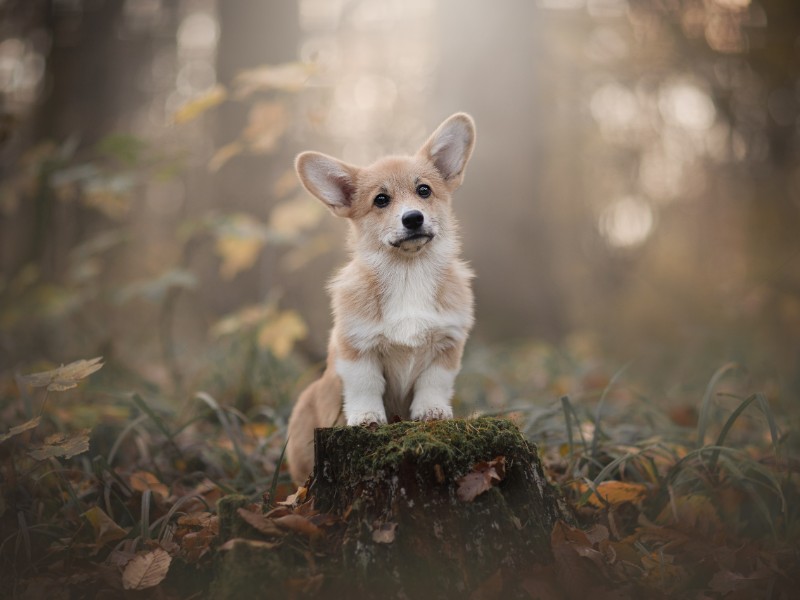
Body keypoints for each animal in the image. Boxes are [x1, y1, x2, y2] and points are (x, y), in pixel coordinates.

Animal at [286, 113, 476, 488]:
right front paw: (366, 417)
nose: (413, 218)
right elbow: (366, 384)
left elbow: (434, 382)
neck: (408, 272)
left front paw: (431, 412)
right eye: (381, 200)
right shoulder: (356, 347)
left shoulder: (448, 344)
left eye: (424, 190)